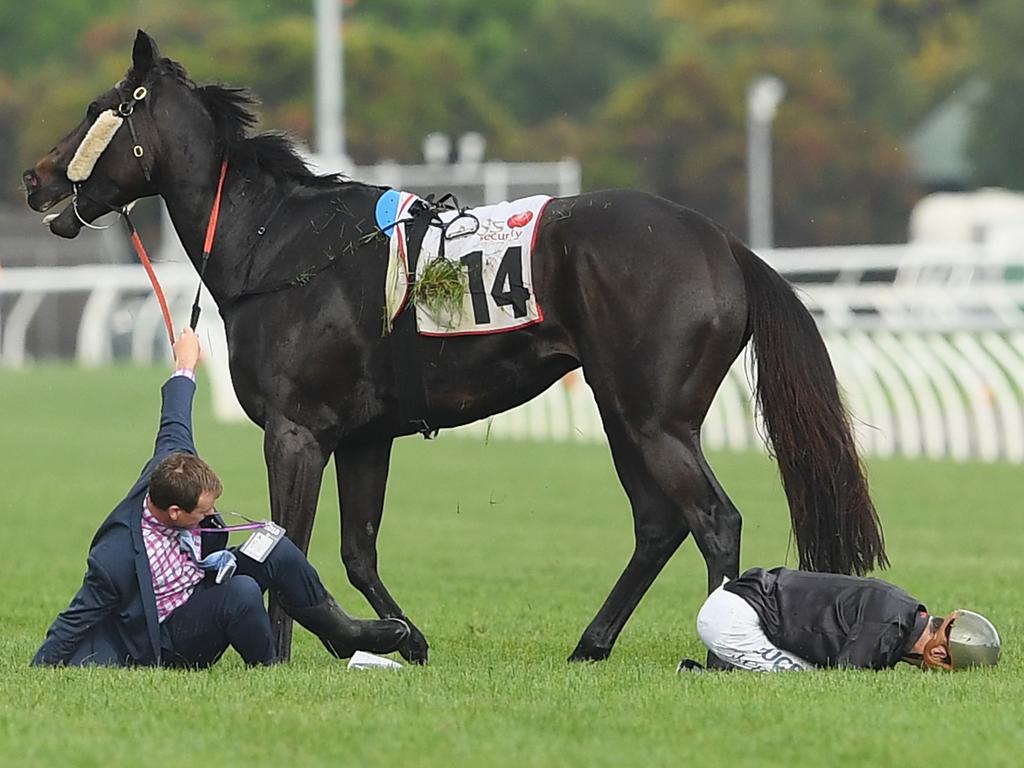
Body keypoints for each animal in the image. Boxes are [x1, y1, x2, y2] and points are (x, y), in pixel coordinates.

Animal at [25, 33, 888, 663]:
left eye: (100, 109)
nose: (35, 179)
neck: (279, 245)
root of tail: (723, 244)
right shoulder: (363, 437)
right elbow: (357, 551)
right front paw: (403, 637)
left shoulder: (297, 430)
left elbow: (285, 543)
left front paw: (278, 649)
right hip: (622, 412)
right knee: (657, 523)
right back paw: (592, 643)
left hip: (654, 418)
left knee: (713, 518)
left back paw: (713, 652)